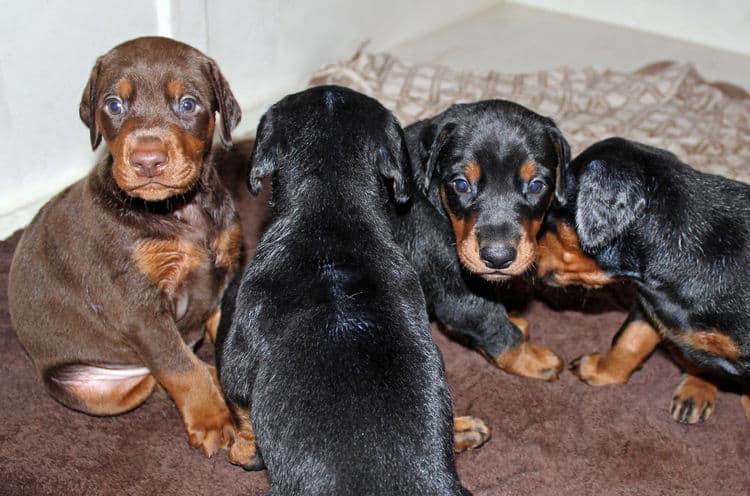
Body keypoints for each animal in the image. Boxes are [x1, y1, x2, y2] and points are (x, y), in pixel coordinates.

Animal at [8, 36, 244, 456]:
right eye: (114, 105)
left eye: (188, 104)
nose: (147, 161)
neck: (178, 210)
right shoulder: (138, 307)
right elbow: (181, 368)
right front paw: (213, 421)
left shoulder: (223, 276)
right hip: (91, 387)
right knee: (161, 372)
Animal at [394, 100, 568, 380]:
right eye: (461, 184)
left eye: (536, 185)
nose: (497, 258)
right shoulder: (459, 297)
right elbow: (495, 327)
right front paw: (533, 359)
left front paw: (514, 319)